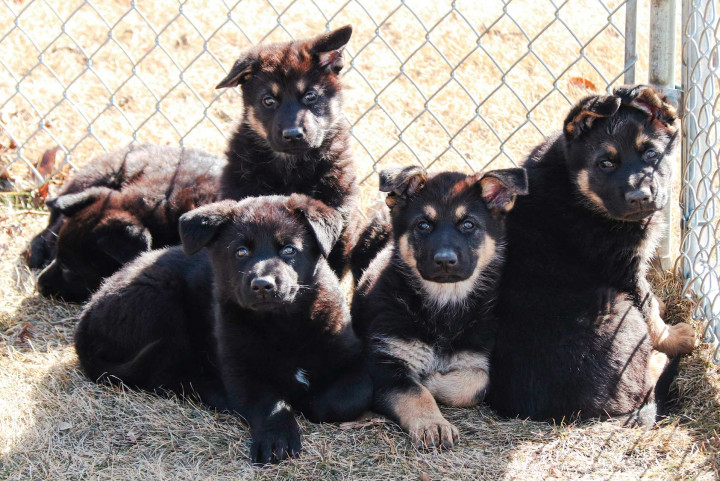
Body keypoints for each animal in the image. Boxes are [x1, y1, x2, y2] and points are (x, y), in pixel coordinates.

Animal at [74, 193, 372, 464]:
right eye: (241, 252)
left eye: (289, 250)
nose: (263, 285)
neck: (282, 324)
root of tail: (85, 316)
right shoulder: (240, 370)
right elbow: (267, 402)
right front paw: (277, 435)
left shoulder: (354, 359)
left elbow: (344, 398)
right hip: (161, 301)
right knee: (167, 375)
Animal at [352, 166, 528, 450]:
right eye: (423, 225)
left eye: (468, 225)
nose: (445, 260)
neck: (443, 305)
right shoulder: (384, 361)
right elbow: (414, 392)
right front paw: (432, 423)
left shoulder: (475, 357)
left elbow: (478, 383)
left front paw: (430, 382)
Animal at [486, 85, 696, 424]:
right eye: (605, 163)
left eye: (651, 154)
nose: (640, 198)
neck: (576, 188)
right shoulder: (624, 269)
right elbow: (649, 310)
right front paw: (674, 338)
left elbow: (651, 300)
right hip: (619, 313)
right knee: (644, 387)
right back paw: (660, 360)